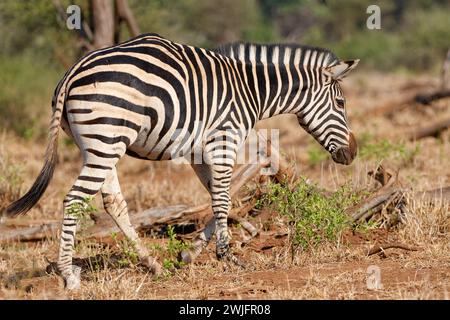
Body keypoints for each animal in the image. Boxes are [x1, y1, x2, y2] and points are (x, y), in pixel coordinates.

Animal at [1, 33, 356, 290]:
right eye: (341, 103)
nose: (352, 154)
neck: (250, 91)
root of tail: (73, 71)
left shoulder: (199, 151)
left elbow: (221, 198)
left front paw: (191, 253)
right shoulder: (224, 140)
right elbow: (223, 200)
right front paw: (228, 256)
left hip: (100, 145)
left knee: (113, 203)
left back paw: (152, 264)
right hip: (106, 139)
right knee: (74, 200)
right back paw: (68, 274)